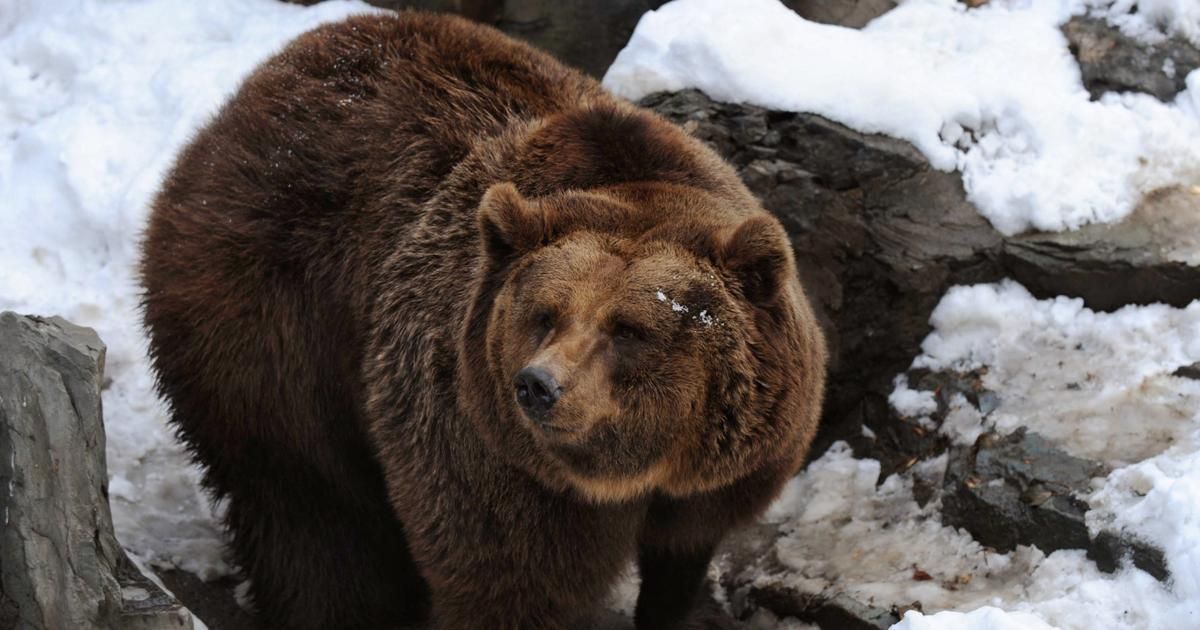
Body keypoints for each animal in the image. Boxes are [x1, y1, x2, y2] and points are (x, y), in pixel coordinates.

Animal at [136, 9, 820, 628]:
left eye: (630, 329)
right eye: (544, 314)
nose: (538, 385)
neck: (630, 476)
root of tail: (246, 96)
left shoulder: (716, 483)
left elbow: (679, 566)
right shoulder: (484, 449)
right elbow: (506, 578)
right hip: (271, 322)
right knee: (308, 507)